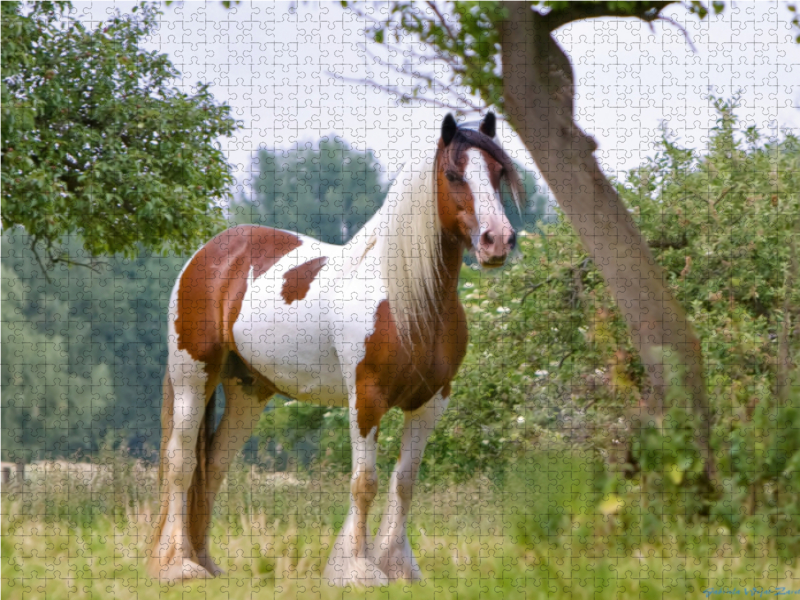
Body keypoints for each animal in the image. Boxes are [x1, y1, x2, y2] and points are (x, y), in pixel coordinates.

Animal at [148, 112, 524, 584]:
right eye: (454, 175)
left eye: (497, 173)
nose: (498, 240)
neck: (408, 299)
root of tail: (209, 253)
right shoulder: (366, 398)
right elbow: (365, 482)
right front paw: (357, 569)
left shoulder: (431, 402)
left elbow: (405, 482)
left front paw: (397, 566)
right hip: (192, 378)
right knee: (181, 463)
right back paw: (177, 565)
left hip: (248, 390)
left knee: (212, 465)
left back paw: (206, 562)